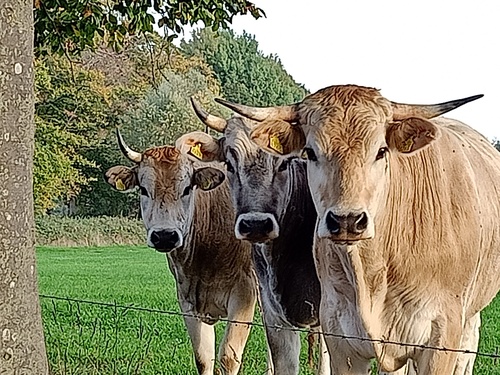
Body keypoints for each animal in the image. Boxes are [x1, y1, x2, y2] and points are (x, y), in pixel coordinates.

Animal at [102, 130, 258, 375]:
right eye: (143, 189)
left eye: (186, 188)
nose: (165, 235)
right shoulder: (187, 299)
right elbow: (203, 358)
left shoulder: (244, 293)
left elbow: (228, 357)